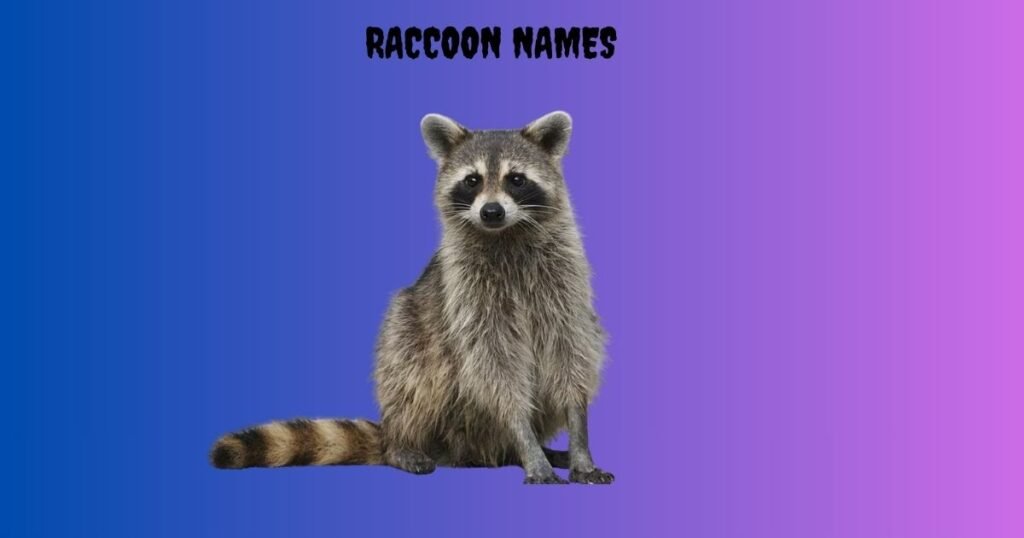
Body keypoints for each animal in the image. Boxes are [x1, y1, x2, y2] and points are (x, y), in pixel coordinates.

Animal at [210, 111, 613, 485]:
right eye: (472, 180)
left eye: (516, 179)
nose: (491, 212)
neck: (506, 235)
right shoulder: (468, 295)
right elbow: (495, 368)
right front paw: (526, 441)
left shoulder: (564, 283)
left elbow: (572, 354)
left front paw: (578, 443)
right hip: (407, 332)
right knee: (413, 371)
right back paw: (407, 444)